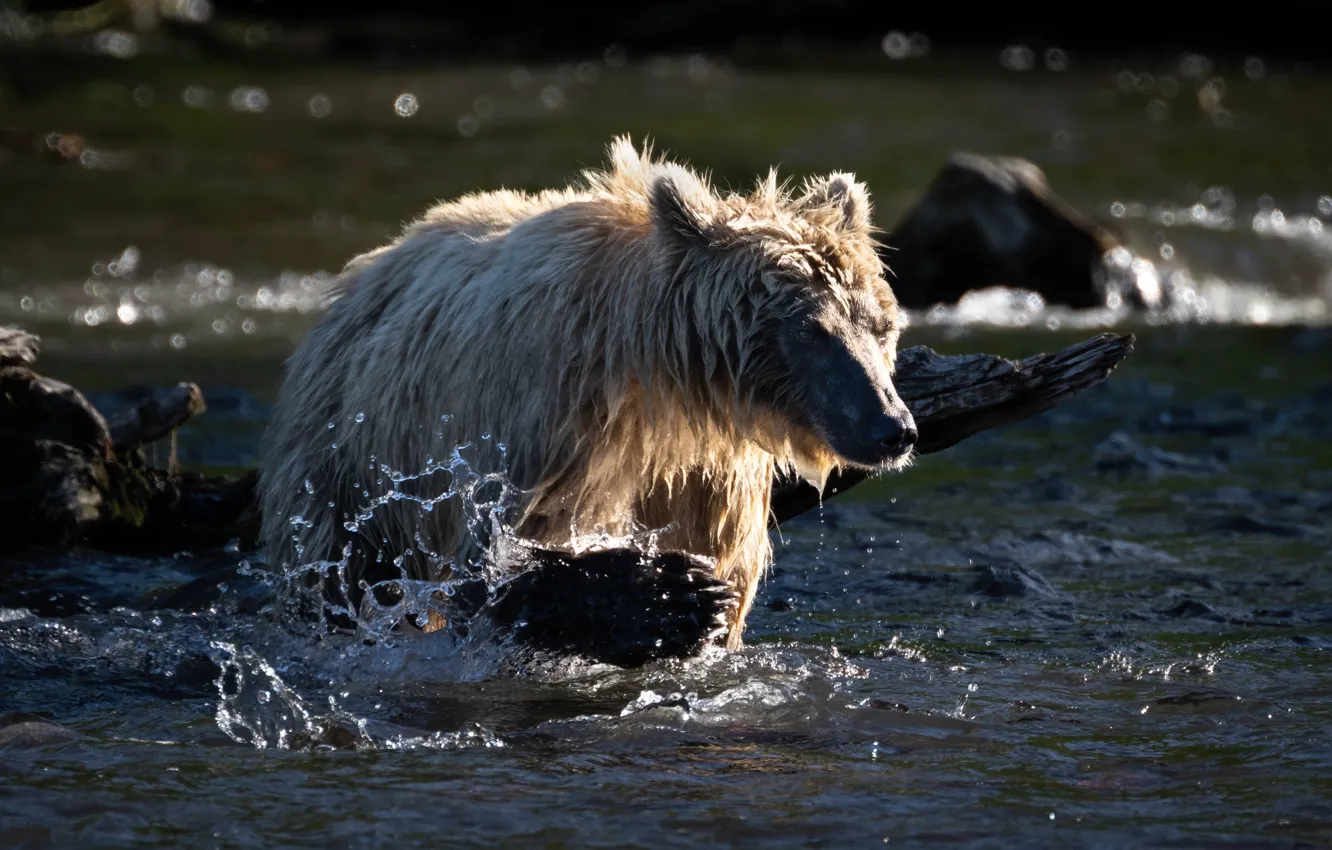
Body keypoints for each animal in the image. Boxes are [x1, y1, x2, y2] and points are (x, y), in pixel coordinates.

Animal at [259, 136, 916, 654]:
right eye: (811, 329)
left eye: (882, 327)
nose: (894, 427)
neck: (668, 388)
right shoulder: (532, 422)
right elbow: (491, 563)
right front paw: (667, 596)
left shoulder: (710, 476)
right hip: (349, 461)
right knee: (341, 573)